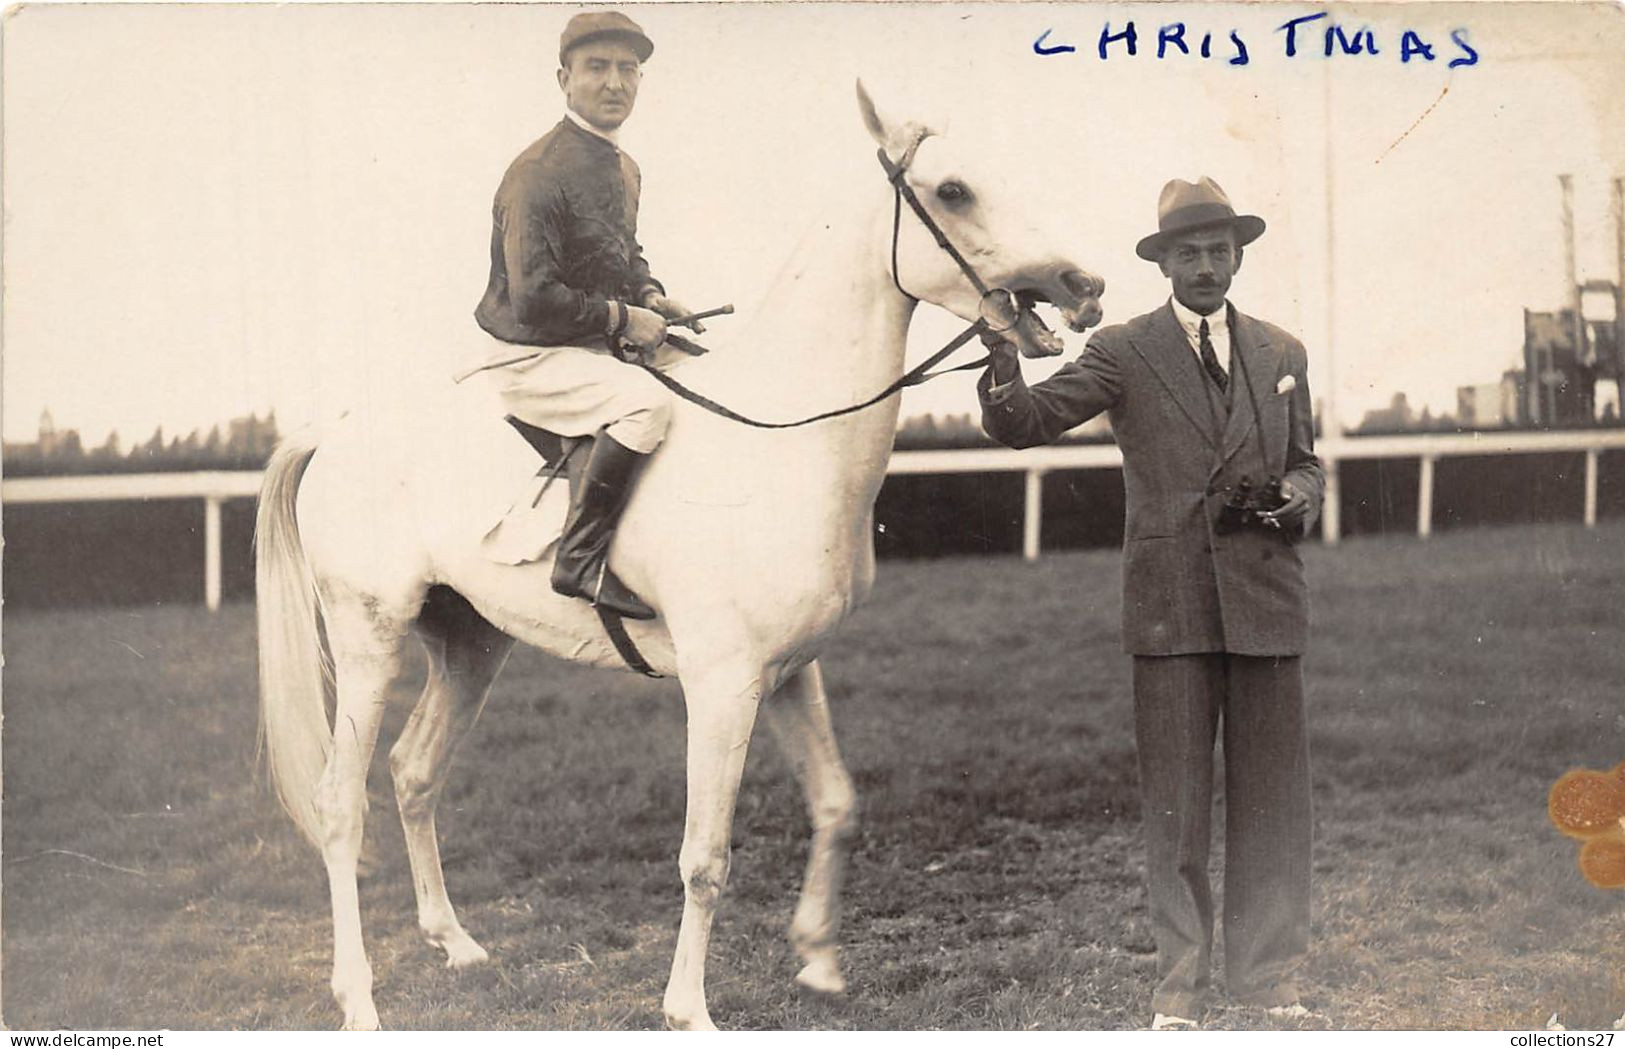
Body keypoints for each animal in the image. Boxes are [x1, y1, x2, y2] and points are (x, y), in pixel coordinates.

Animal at [256, 84, 1105, 1032]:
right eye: (953, 190)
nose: (1085, 287)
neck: (784, 439)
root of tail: (333, 432)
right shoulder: (722, 684)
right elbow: (705, 855)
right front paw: (688, 1009)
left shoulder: (790, 672)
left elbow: (836, 803)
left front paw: (817, 961)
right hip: (369, 638)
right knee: (342, 802)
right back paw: (358, 997)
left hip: (471, 644)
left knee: (414, 773)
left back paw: (457, 943)